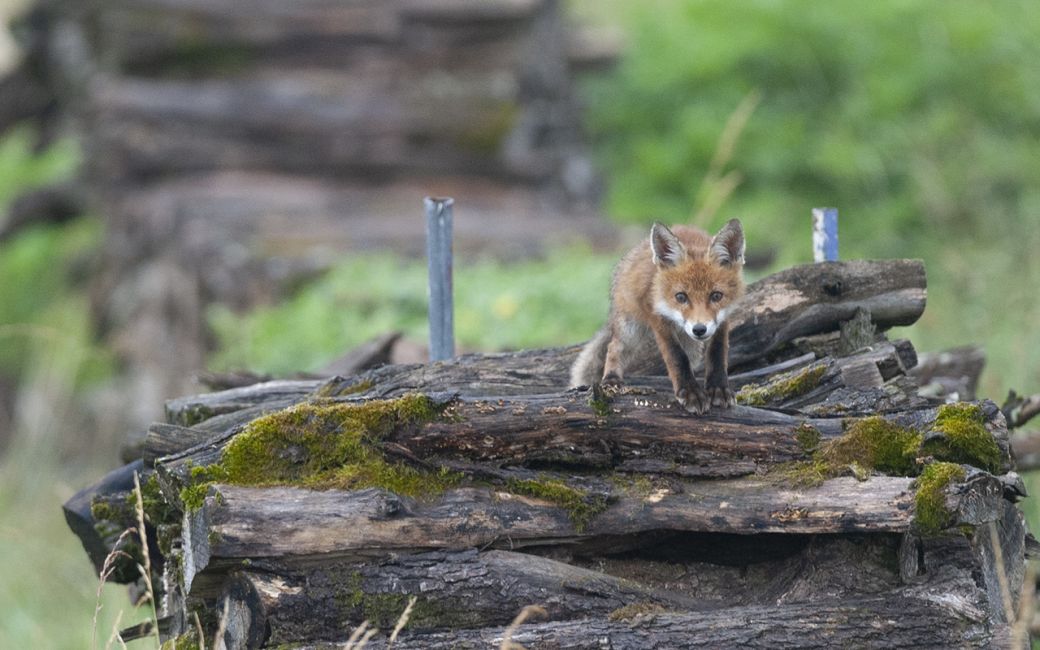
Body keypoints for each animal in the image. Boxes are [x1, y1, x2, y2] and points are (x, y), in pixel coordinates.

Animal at [569, 218, 748, 409]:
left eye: (716, 296)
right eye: (681, 297)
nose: (699, 329)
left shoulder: (722, 319)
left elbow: (717, 353)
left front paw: (718, 388)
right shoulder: (659, 319)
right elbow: (676, 357)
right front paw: (690, 392)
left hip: (689, 343)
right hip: (630, 328)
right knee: (614, 347)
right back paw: (611, 379)